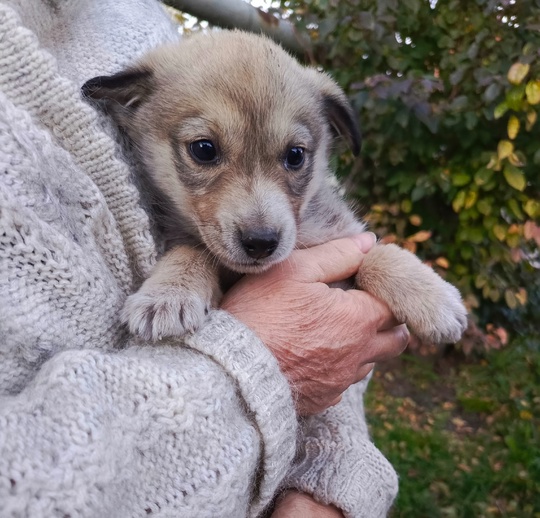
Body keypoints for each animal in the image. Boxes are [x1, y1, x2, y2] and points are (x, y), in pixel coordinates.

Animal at [81, 29, 468, 346]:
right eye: (204, 149)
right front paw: (167, 294)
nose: (261, 243)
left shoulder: (343, 235)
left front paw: (432, 297)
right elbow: (192, 250)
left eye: (295, 155)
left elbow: (377, 253)